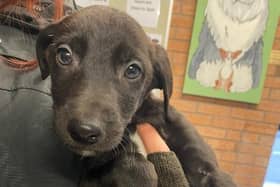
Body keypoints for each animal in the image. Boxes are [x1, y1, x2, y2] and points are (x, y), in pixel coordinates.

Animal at [35, 5, 236, 186]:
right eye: (64, 55)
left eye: (132, 70)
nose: (84, 132)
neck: (137, 120)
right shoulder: (92, 173)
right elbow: (132, 166)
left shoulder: (207, 166)